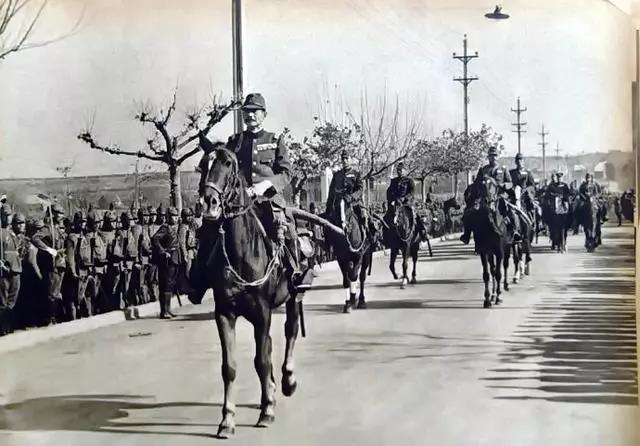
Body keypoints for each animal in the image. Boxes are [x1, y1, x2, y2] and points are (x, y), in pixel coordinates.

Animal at [195, 148, 302, 438]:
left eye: (228, 163)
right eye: (202, 165)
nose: (208, 202)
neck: (242, 250)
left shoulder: (263, 312)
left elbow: (262, 361)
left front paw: (267, 411)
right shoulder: (224, 313)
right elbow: (229, 367)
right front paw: (227, 420)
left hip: (294, 297)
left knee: (290, 331)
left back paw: (287, 380)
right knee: (271, 342)